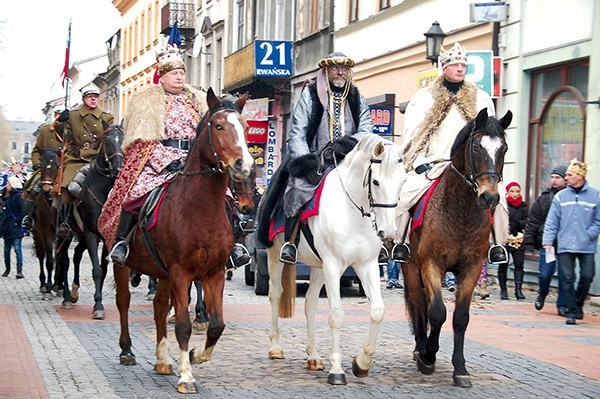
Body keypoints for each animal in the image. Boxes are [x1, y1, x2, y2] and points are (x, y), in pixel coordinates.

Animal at [113, 89, 254, 396]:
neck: (199, 208)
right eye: (219, 126)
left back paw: (163, 360)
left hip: (162, 273)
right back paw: (127, 350)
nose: (244, 165)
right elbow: (183, 326)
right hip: (123, 265)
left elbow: (216, 325)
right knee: (123, 302)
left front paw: (195, 356)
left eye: (246, 127)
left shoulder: (214, 273)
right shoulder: (181, 273)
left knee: (158, 308)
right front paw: (186, 376)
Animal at [264, 134, 406, 384]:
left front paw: (361, 362)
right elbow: (336, 315)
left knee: (310, 302)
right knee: (275, 294)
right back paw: (276, 347)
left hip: (318, 266)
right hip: (276, 256)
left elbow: (378, 310)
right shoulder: (333, 265)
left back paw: (313, 356)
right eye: (376, 182)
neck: (353, 211)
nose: (388, 232)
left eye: (402, 182)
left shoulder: (366, 265)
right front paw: (337, 370)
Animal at [400, 108, 512, 388]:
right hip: (411, 267)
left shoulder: (471, 268)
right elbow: (437, 311)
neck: (461, 211)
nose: (489, 197)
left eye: (504, 148)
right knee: (419, 303)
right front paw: (428, 355)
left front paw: (460, 368)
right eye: (476, 146)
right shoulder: (431, 264)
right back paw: (421, 347)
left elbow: (460, 317)